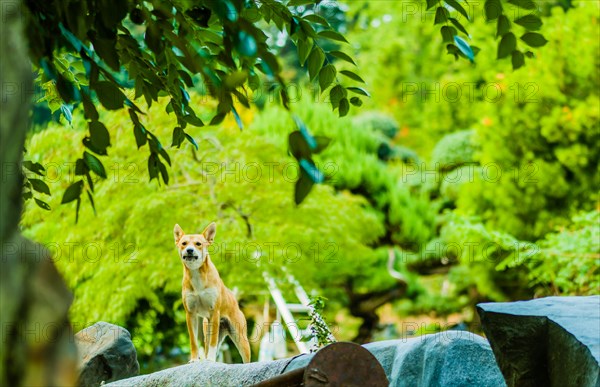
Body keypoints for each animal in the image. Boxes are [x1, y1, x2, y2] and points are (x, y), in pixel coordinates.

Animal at [173, 223, 251, 362]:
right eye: (184, 243)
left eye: (198, 244)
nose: (189, 250)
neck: (197, 275)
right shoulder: (190, 314)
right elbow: (193, 341)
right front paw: (194, 359)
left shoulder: (214, 312)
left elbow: (212, 343)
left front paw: (210, 360)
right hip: (207, 330)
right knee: (207, 345)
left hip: (241, 339)